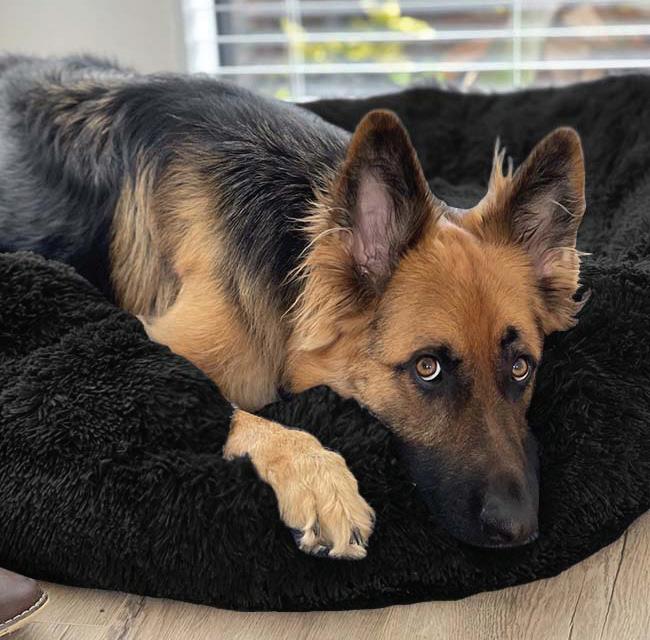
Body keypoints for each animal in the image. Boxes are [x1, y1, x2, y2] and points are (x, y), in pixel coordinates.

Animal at [0, 55, 587, 559]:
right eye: (428, 368)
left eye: (521, 368)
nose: (519, 529)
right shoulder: (148, 346)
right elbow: (219, 405)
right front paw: (316, 475)